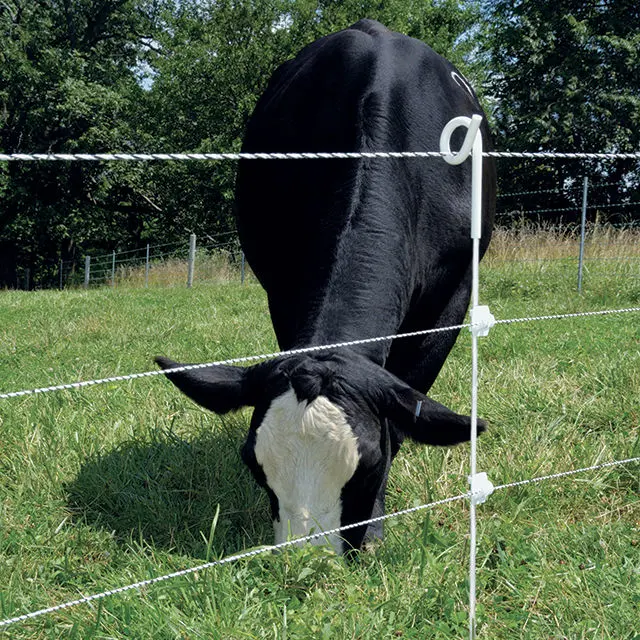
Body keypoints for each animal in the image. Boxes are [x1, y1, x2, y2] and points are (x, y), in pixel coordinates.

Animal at [158, 20, 498, 556]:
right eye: (253, 464)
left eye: (371, 465)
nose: (307, 561)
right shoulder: (282, 288)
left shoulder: (453, 293)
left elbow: (409, 401)